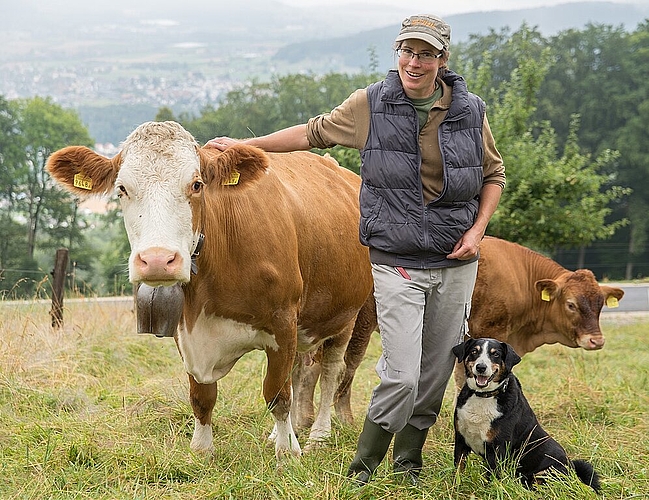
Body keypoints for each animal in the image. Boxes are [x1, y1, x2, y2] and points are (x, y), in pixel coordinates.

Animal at [46, 120, 374, 458]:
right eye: (122, 188)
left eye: (196, 184)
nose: (157, 261)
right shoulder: (187, 330)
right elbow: (202, 396)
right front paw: (202, 449)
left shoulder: (283, 322)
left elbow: (277, 394)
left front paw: (287, 452)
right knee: (301, 369)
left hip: (347, 317)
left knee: (332, 371)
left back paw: (318, 434)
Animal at [322, 236, 624, 424]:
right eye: (571, 304)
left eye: (600, 305)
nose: (596, 340)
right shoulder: (490, 331)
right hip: (359, 324)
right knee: (347, 366)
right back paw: (344, 420)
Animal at [450, 336, 596, 492]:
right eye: (474, 351)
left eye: (495, 354)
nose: (481, 367)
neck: (483, 396)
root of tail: (573, 469)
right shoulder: (461, 440)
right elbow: (458, 470)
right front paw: (454, 489)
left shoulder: (497, 449)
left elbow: (491, 477)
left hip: (546, 472)